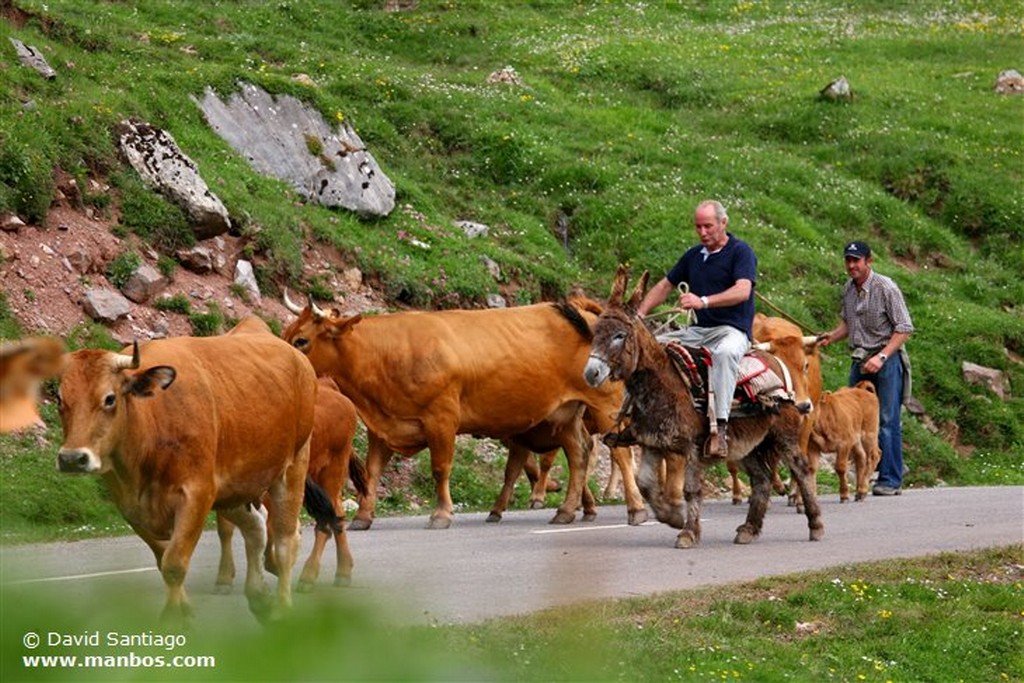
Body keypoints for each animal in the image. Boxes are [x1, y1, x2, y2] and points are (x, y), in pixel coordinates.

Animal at [54, 317, 323, 626]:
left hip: (293, 466)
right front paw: (184, 612)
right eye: (59, 400)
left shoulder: (196, 495)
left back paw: (281, 607)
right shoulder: (131, 507)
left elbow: (174, 562)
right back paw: (258, 596)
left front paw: (173, 619)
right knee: (256, 527)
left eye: (109, 398)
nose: (72, 458)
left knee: (285, 540)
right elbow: (163, 559)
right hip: (235, 488)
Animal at [216, 374, 372, 593]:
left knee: (326, 521)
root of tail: (329, 387)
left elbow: (272, 528)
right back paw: (343, 571)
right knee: (337, 515)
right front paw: (224, 578)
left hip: (333, 470)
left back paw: (308, 575)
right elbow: (226, 528)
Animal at [282, 294, 647, 528]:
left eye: (302, 340)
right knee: (579, 453)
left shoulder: (442, 418)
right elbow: (371, 473)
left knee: (620, 454)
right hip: (566, 414)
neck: (387, 353)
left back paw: (636, 508)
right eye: (288, 334)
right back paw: (567, 510)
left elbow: (440, 468)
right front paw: (362, 517)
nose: (283, 358)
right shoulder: (382, 427)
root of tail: (584, 311)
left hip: (606, 405)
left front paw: (441, 514)